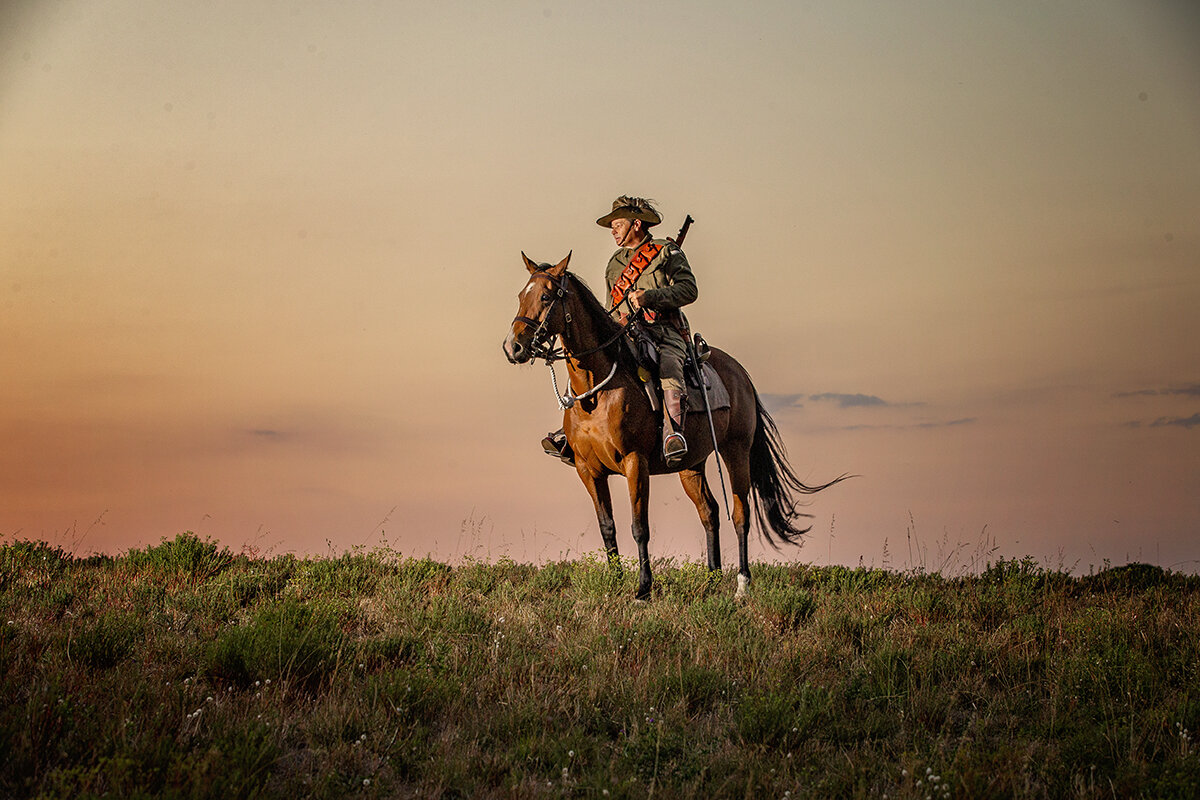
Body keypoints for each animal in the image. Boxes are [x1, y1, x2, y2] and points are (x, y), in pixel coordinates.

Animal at [503, 252, 846, 599]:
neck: (596, 392)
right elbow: (607, 527)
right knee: (710, 512)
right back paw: (712, 580)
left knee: (740, 514)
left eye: (546, 297)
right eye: (521, 296)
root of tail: (739, 372)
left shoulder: (635, 462)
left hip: (736, 451)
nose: (513, 347)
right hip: (690, 464)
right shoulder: (589, 470)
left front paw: (643, 588)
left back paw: (741, 584)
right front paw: (615, 584)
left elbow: (639, 526)